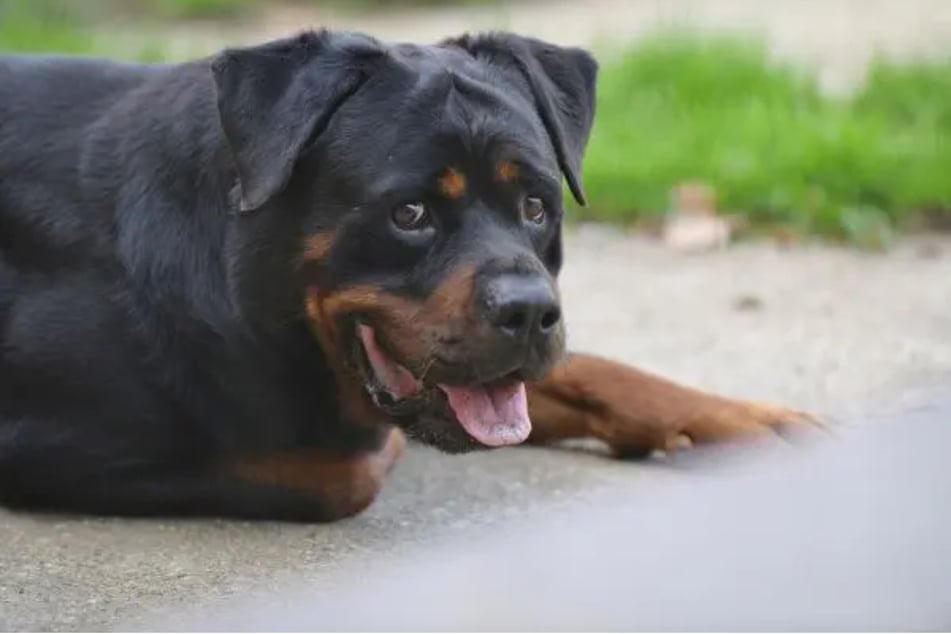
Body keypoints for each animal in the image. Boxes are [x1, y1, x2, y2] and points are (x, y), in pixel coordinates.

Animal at [0, 29, 820, 520]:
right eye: (409, 214)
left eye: (535, 205)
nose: (530, 310)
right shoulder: (54, 440)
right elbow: (352, 467)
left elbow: (587, 368)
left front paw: (740, 417)